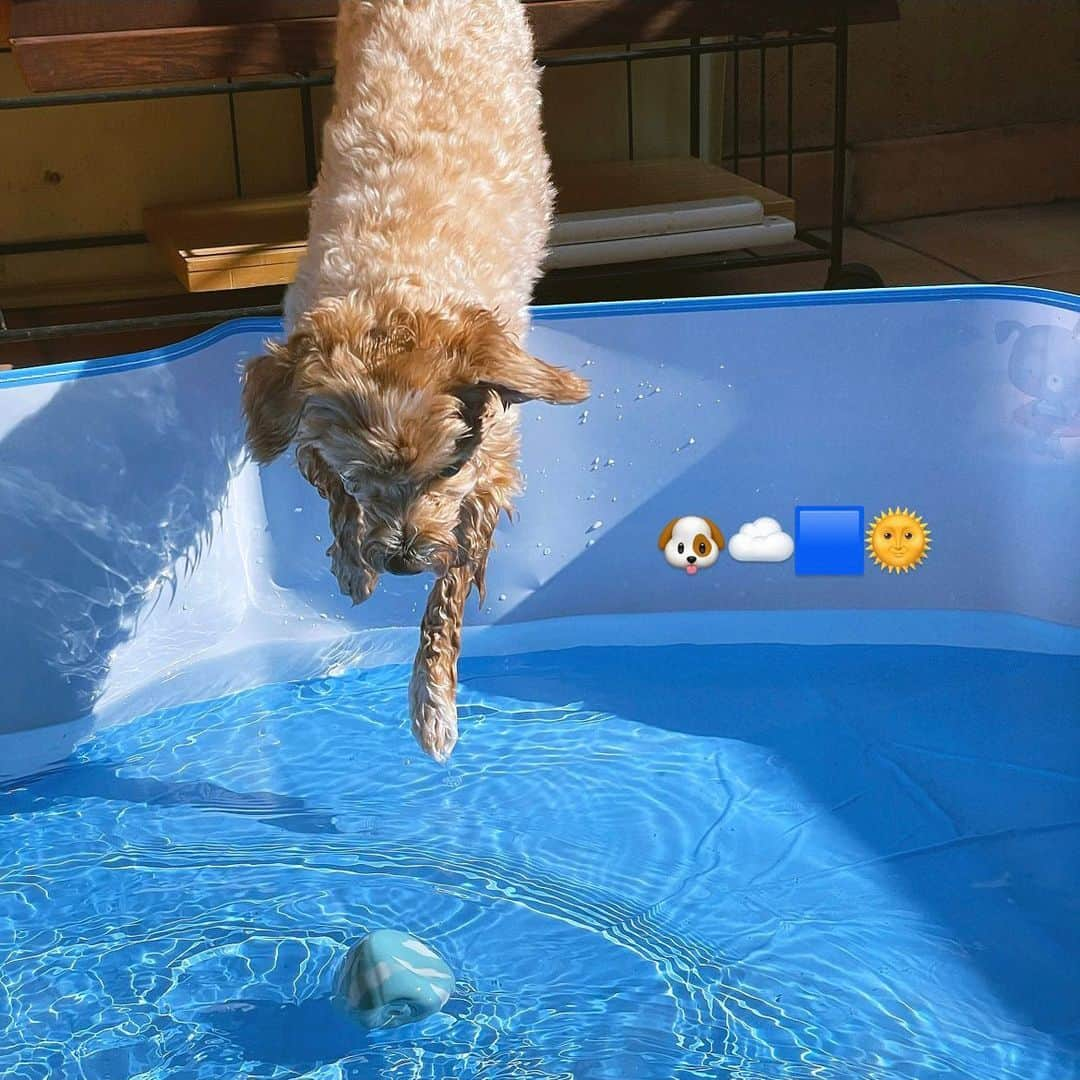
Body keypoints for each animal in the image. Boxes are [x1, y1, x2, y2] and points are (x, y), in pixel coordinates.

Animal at [243, 0, 591, 760]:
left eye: (445, 471)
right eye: (363, 479)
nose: (403, 560)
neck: (399, 282)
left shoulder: (491, 460)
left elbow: (453, 586)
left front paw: (433, 700)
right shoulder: (309, 408)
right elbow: (320, 478)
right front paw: (351, 560)